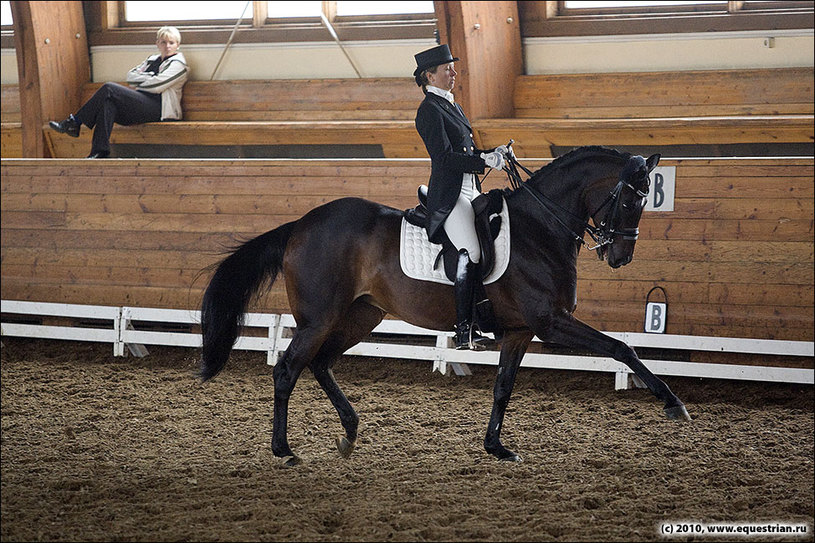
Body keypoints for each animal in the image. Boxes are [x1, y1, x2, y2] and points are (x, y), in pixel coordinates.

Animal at [198, 146, 688, 468]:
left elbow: (504, 387)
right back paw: (284, 451)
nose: (619, 256)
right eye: (631, 199)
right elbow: (622, 348)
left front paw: (497, 448)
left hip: (361, 315)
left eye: (646, 199)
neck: (539, 228)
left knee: (320, 364)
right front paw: (673, 403)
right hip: (319, 319)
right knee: (288, 369)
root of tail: (301, 224)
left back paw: (349, 434)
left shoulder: (520, 330)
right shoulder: (550, 322)